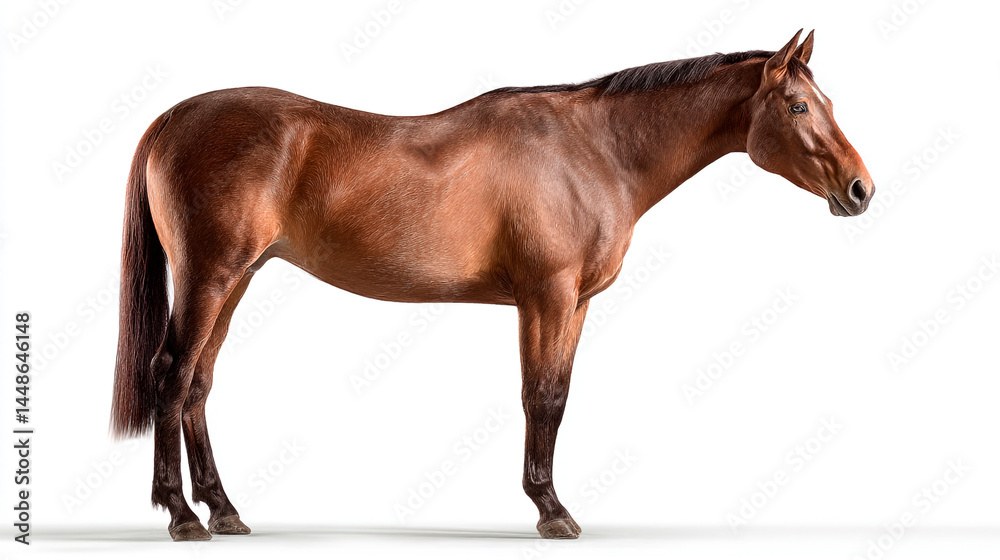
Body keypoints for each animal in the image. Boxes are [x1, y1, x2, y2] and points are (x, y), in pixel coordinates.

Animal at [110, 29, 873, 541]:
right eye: (800, 107)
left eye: (827, 101)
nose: (860, 190)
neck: (593, 151)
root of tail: (173, 118)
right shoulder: (547, 296)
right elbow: (543, 398)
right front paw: (552, 511)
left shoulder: (574, 304)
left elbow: (557, 396)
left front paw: (549, 503)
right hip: (210, 276)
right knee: (170, 375)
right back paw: (181, 516)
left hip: (235, 280)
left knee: (199, 386)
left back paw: (224, 511)